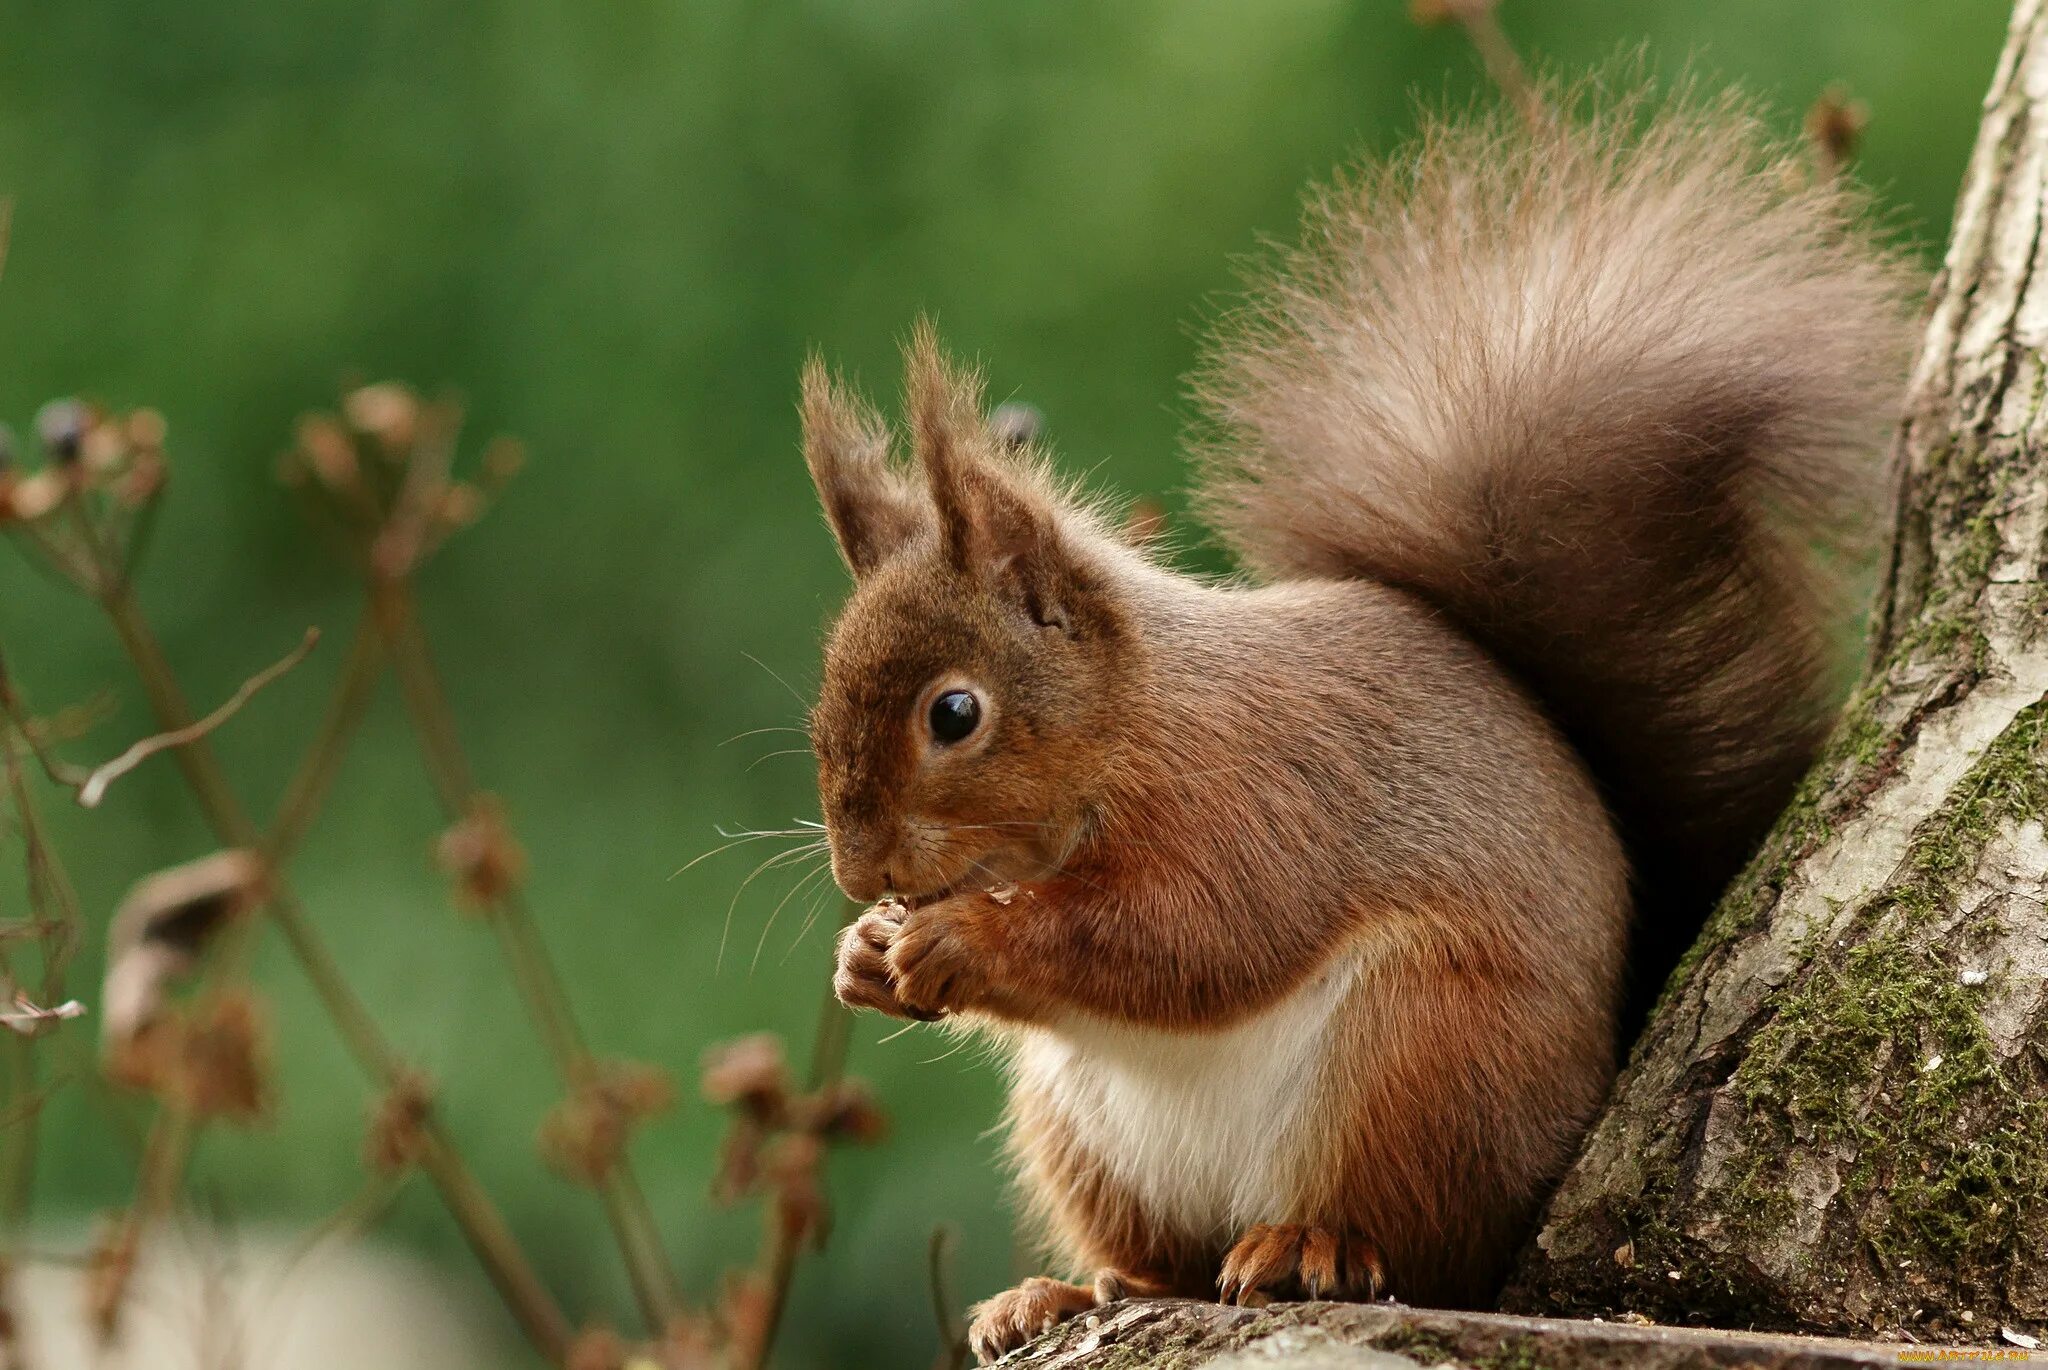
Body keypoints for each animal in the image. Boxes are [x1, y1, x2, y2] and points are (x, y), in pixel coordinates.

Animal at [794, 88, 1900, 1359]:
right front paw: (862, 953)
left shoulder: (1258, 793)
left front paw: (956, 939)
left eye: (955, 712)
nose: (858, 868)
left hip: (1420, 1056)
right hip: (1081, 1131)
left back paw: (1307, 1244)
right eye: (822, 698)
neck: (1135, 722)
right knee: (1168, 1262)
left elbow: (1192, 937)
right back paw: (1063, 1291)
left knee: (1411, 1238)